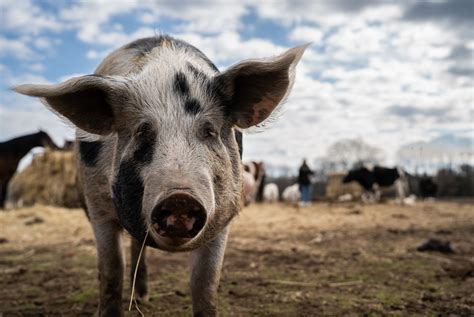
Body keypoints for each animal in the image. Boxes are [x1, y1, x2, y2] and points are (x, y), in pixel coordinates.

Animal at [13, 35, 308, 314]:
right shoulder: (97, 207)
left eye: (210, 131)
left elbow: (205, 283)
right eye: (142, 131)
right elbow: (111, 271)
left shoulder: (225, 215)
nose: (180, 197)